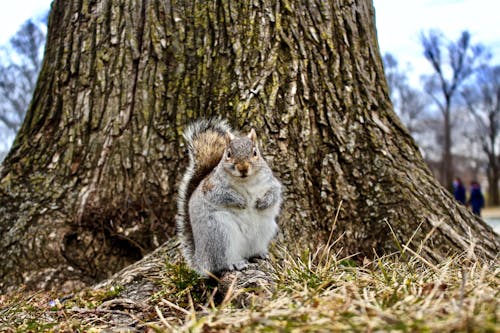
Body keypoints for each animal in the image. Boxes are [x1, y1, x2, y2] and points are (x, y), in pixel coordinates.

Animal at [178, 118, 284, 274]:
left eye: (255, 152)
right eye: (228, 154)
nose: (243, 168)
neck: (246, 181)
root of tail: (201, 260)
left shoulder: (271, 182)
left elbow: (275, 192)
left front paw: (263, 202)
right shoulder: (212, 187)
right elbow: (222, 196)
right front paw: (241, 201)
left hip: (265, 229)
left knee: (252, 251)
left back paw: (260, 253)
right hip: (220, 233)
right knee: (221, 262)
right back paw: (235, 263)